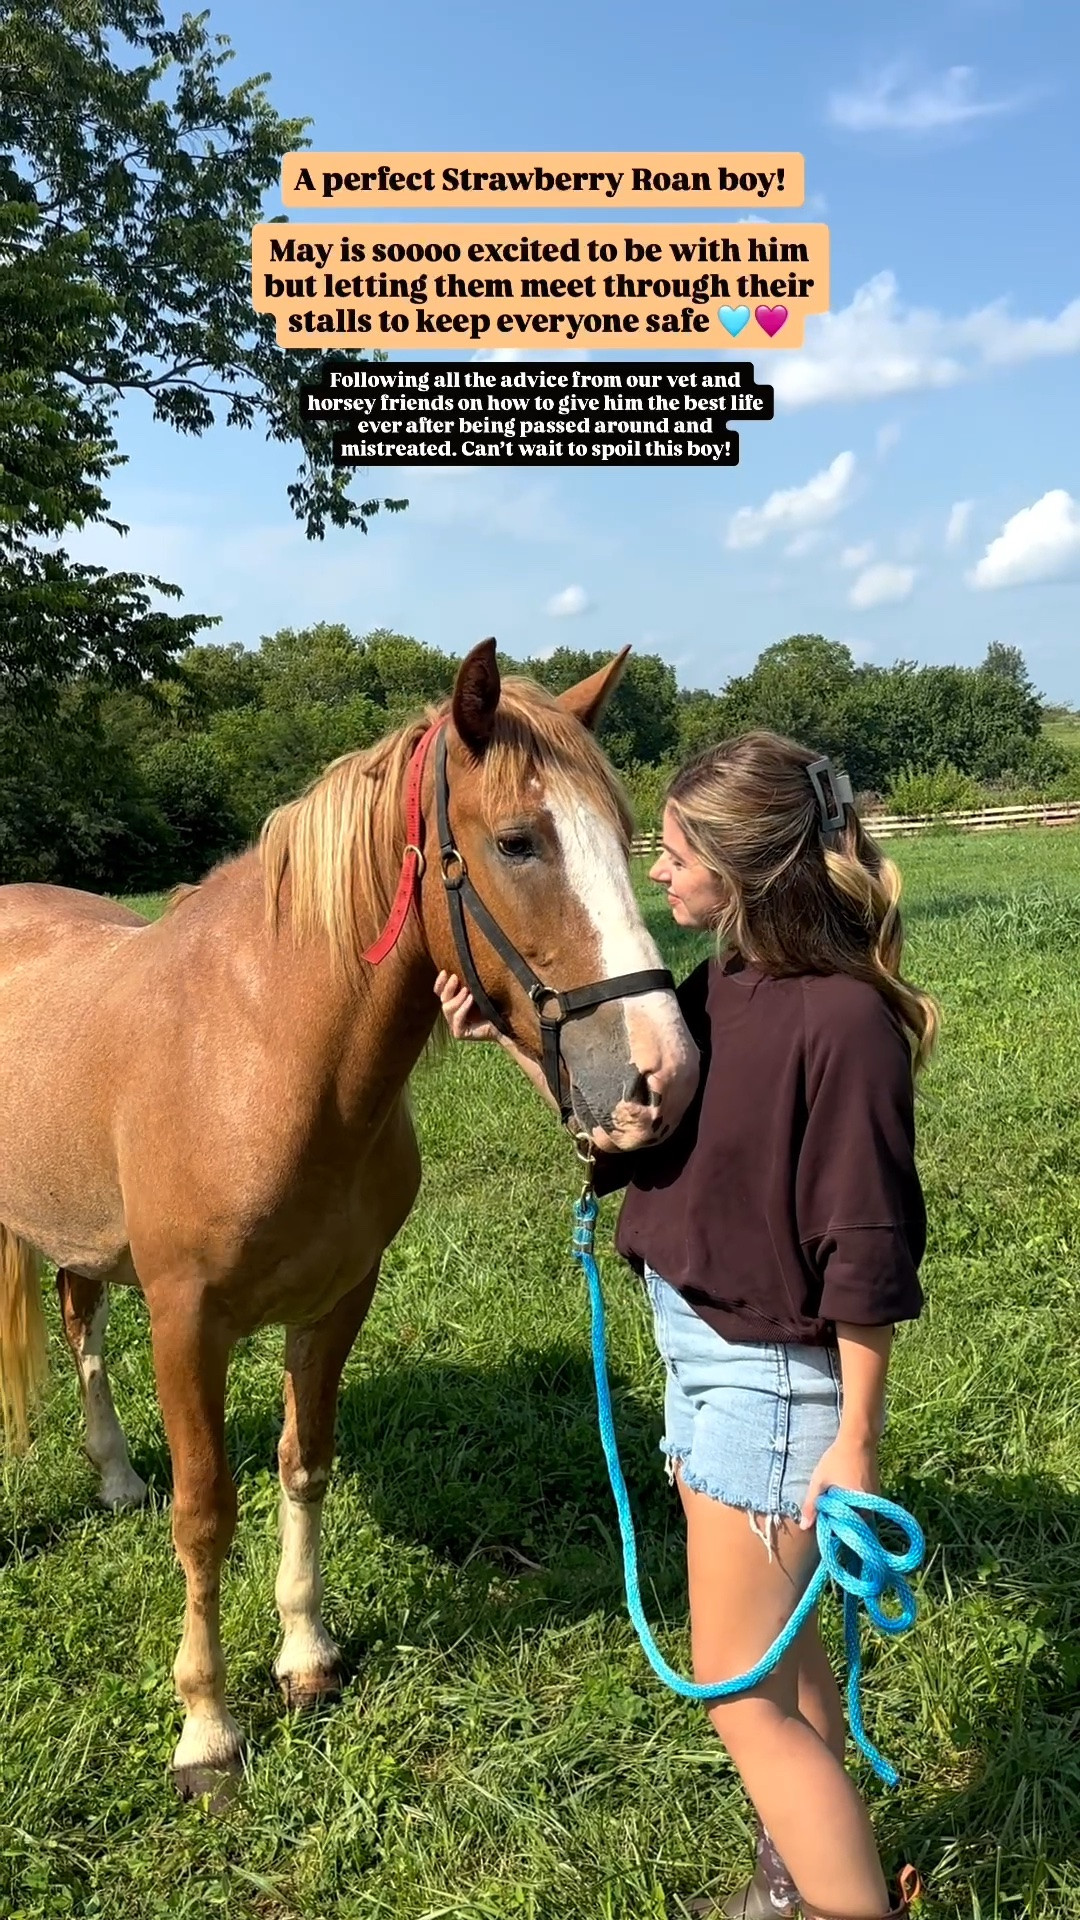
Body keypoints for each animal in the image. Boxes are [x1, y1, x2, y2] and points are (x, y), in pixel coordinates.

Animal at [0, 639, 698, 1799]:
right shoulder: (188, 1322)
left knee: (81, 1326)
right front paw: (207, 1729)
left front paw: (306, 1655)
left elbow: (303, 1464)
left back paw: (115, 1478)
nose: (662, 1074)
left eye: (622, 829)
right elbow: (205, 1515)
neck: (264, 1050)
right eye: (517, 842)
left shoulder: (335, 1303)